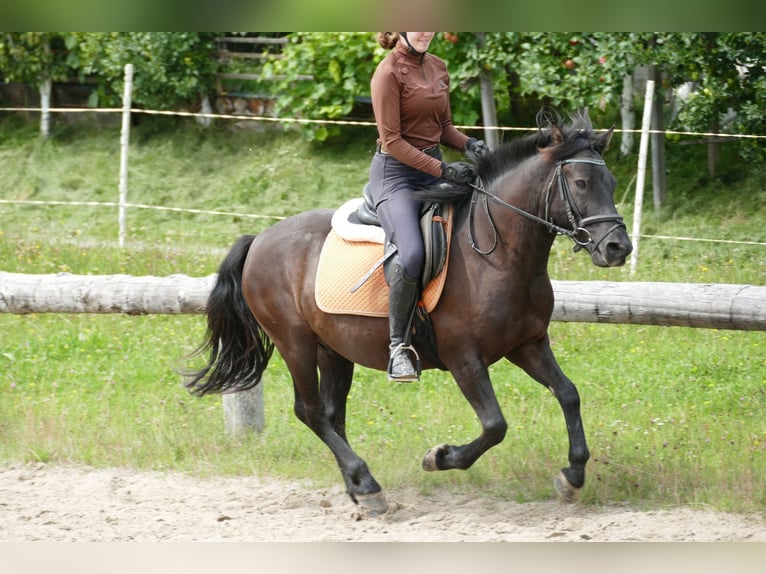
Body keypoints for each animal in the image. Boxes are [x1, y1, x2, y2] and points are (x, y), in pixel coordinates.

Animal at [183, 110, 632, 516]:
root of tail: (259, 238)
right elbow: (495, 425)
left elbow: (568, 394)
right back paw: (366, 484)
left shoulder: (528, 344)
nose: (618, 248)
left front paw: (572, 476)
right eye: (581, 183)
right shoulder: (464, 358)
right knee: (309, 411)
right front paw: (439, 456)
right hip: (295, 343)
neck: (500, 253)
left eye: (611, 183)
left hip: (333, 349)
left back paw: (360, 489)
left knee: (331, 414)